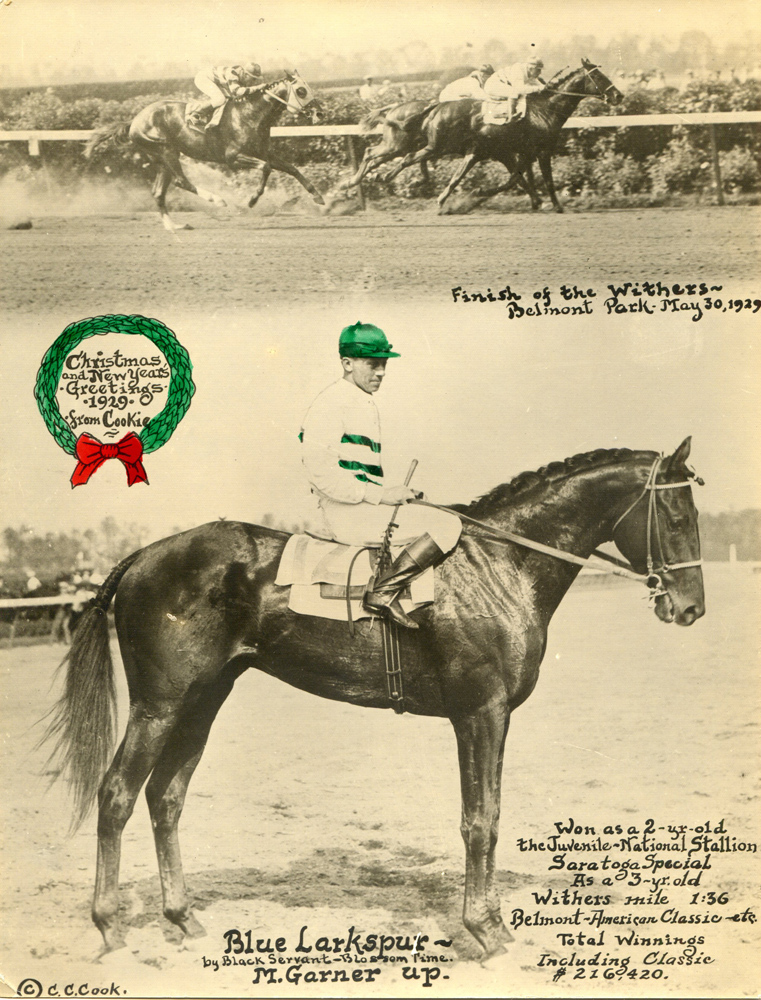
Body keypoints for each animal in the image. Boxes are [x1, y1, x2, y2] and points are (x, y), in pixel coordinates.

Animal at [43, 442, 708, 956]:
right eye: (677, 518)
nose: (691, 608)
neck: (499, 565)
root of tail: (144, 554)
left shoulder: (489, 718)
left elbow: (489, 815)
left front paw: (492, 923)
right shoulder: (480, 714)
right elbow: (480, 821)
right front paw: (484, 929)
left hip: (204, 701)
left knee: (166, 797)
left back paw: (181, 917)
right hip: (160, 705)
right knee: (118, 794)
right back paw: (109, 927)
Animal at [86, 73, 324, 231]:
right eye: (301, 90)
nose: (320, 113)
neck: (250, 114)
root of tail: (134, 120)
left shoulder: (264, 152)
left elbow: (292, 168)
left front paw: (318, 196)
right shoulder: (232, 157)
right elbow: (265, 168)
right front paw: (251, 201)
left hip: (161, 158)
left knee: (158, 192)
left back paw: (174, 226)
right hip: (166, 150)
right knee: (181, 181)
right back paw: (217, 200)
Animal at [404, 58, 624, 211]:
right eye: (599, 77)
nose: (618, 95)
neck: (546, 109)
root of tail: (436, 106)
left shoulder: (522, 152)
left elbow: (517, 178)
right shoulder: (541, 150)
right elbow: (544, 180)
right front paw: (557, 206)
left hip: (463, 148)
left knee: (436, 166)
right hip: (443, 146)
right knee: (412, 158)